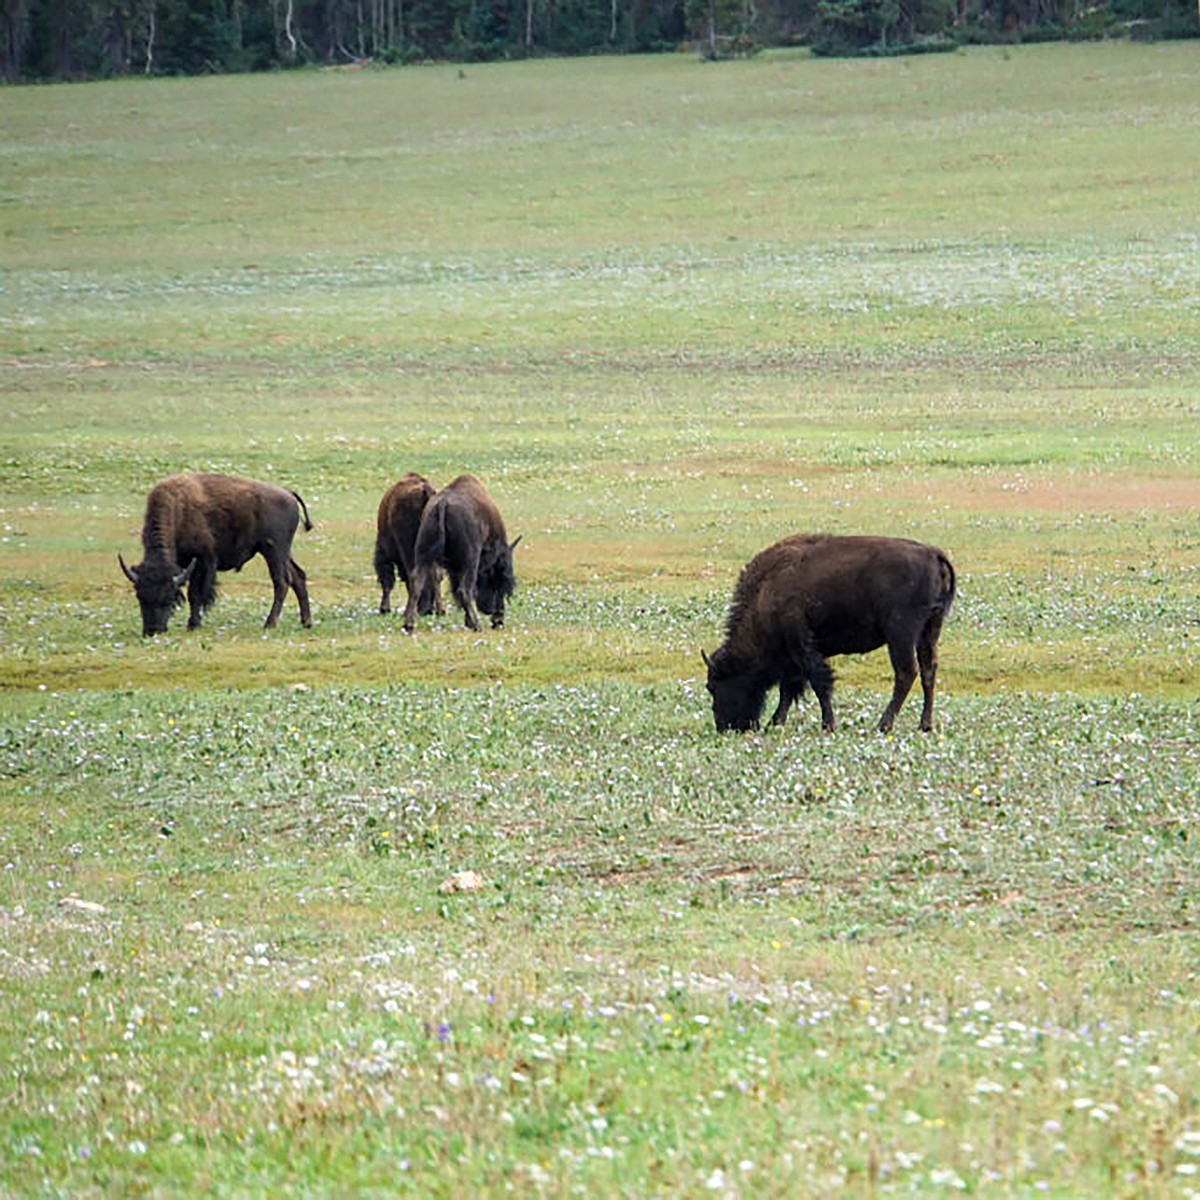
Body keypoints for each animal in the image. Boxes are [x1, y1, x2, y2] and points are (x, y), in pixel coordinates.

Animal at [119, 472, 313, 636]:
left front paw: (193, 624)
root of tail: (288, 493)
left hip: (273, 551)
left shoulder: (202, 561)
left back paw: (270, 624)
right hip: (282, 553)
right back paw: (306, 622)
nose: (153, 631)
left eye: (168, 596)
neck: (178, 510)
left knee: (282, 582)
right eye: (139, 596)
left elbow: (195, 594)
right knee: (298, 576)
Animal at [403, 474, 519, 634]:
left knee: (416, 582)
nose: (498, 620)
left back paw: (408, 625)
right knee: (464, 590)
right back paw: (477, 625)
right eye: (500, 578)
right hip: (470, 560)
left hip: (423, 554)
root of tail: (443, 503)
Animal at [703, 534, 955, 734]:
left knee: (906, 673)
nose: (724, 726)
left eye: (713, 686)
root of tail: (932, 553)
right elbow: (789, 689)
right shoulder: (792, 657)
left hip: (901, 635)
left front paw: (828, 725)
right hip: (929, 631)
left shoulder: (801, 646)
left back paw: (883, 725)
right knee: (928, 671)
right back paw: (925, 725)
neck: (767, 591)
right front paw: (775, 722)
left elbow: (817, 683)